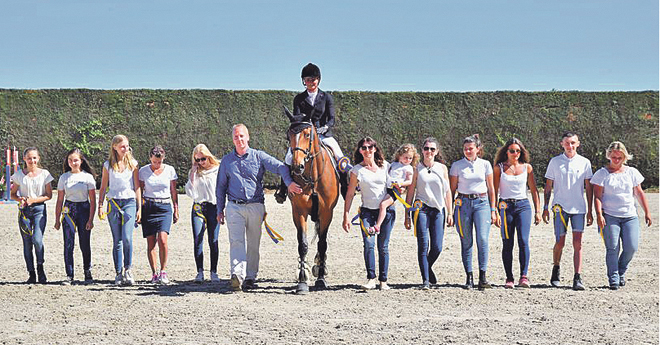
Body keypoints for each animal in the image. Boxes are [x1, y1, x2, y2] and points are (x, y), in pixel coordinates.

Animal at [284, 108, 340, 292]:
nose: (297, 166)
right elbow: (303, 244)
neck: (313, 177)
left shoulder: (326, 213)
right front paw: (302, 280)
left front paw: (321, 278)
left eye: (307, 134)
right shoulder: (299, 212)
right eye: (288, 135)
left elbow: (322, 244)